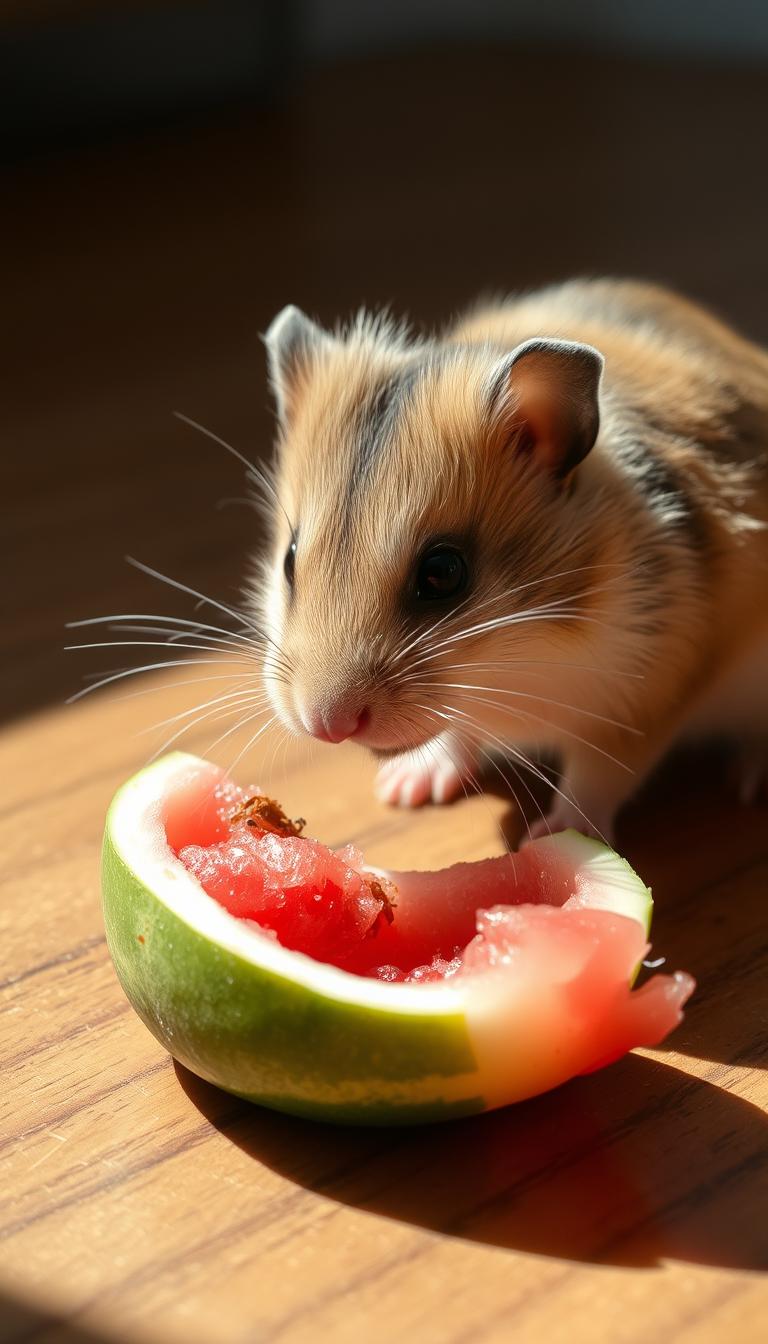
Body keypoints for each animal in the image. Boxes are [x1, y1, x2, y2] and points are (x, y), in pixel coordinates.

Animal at [257, 278, 768, 843]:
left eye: (443, 573)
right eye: (289, 560)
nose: (326, 728)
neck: (511, 660)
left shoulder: (649, 694)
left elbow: (598, 775)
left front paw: (552, 838)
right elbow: (456, 733)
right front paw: (401, 790)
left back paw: (750, 784)